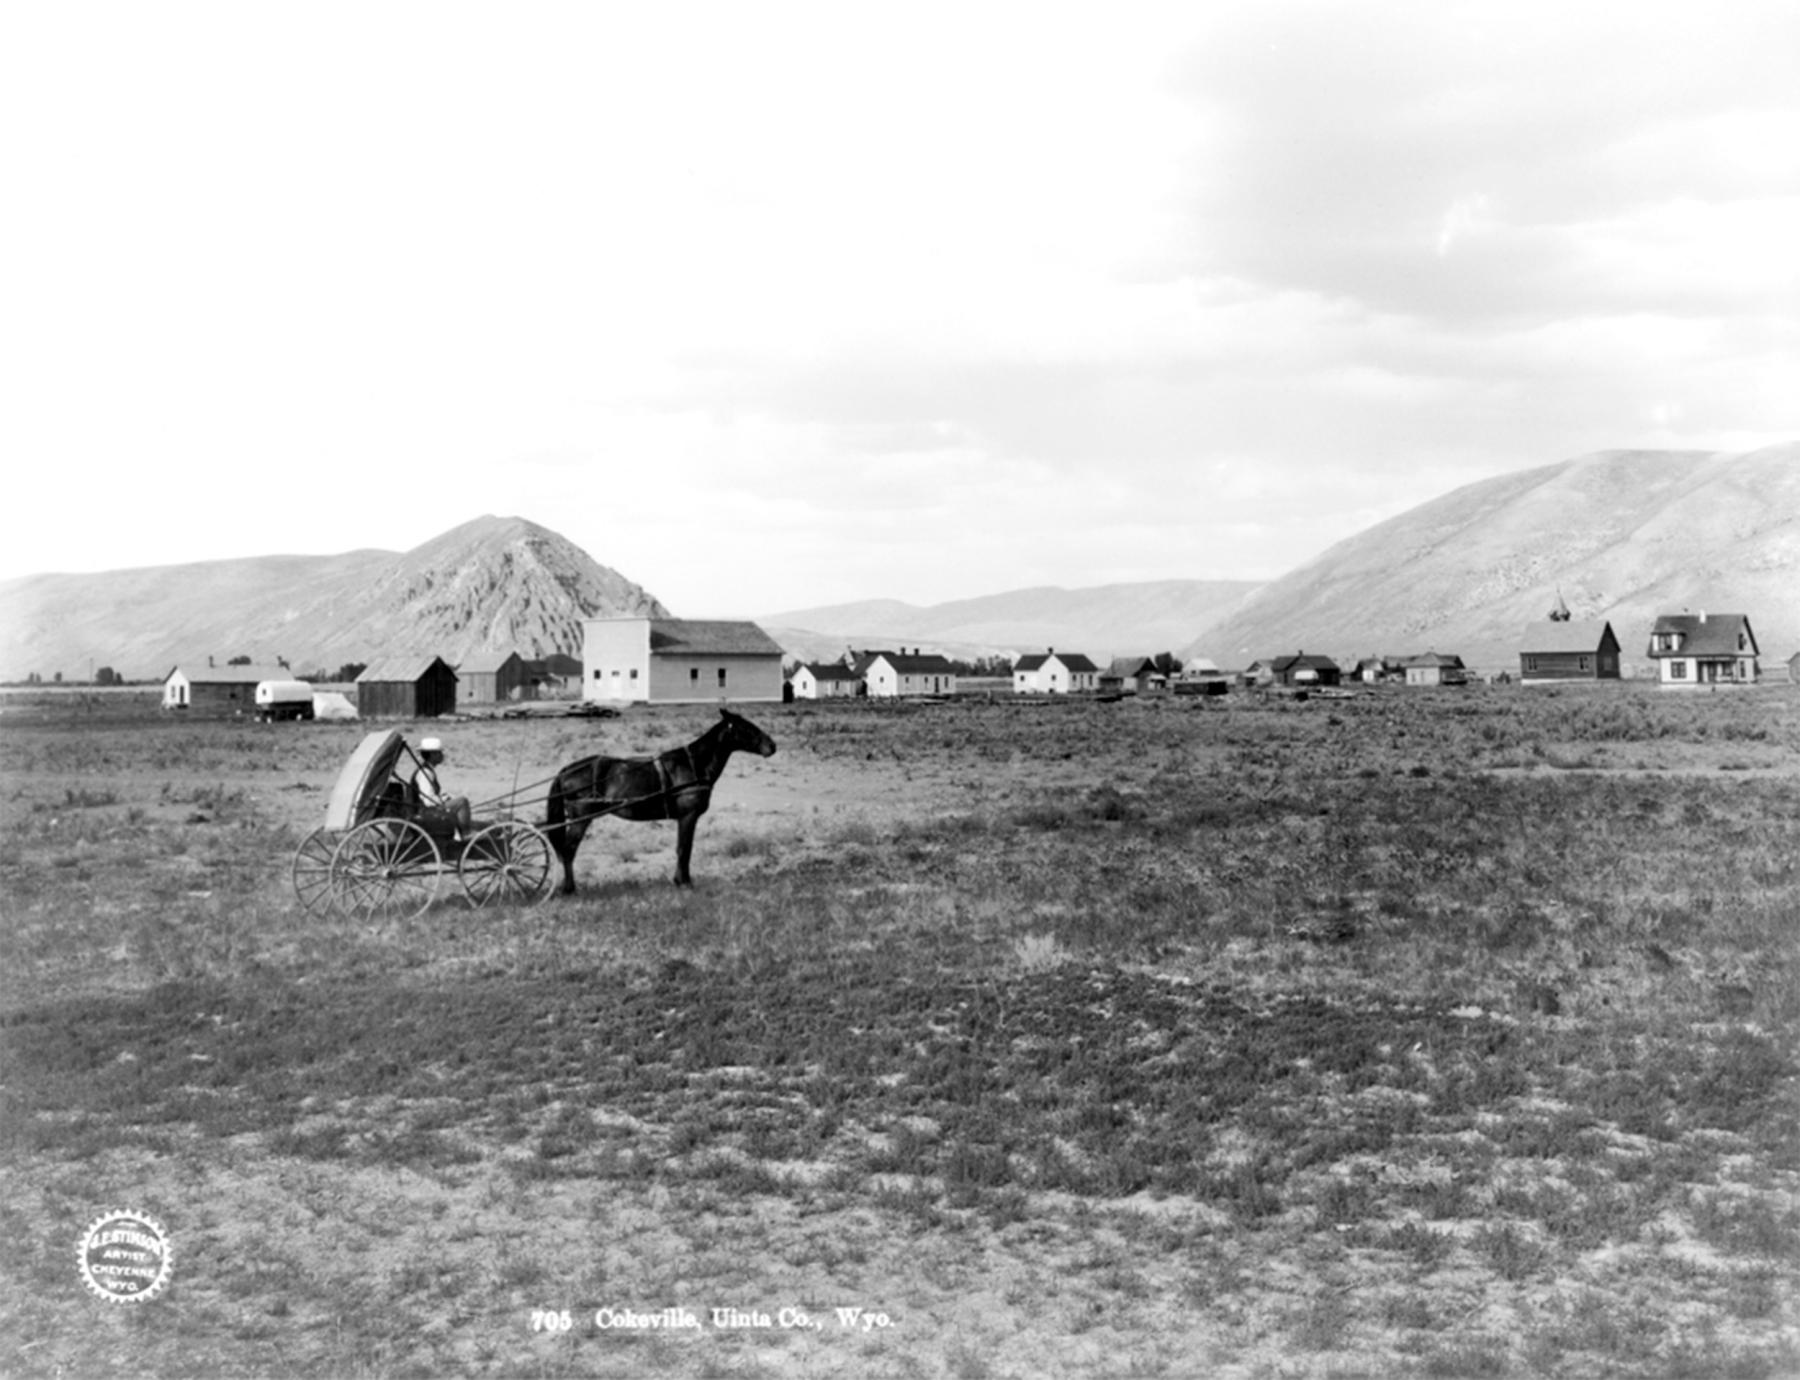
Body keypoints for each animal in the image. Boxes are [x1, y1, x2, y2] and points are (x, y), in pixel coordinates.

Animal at [543, 712, 777, 896]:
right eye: (747, 728)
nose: (772, 746)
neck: (693, 764)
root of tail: (566, 770)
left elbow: (683, 848)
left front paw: (680, 880)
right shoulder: (687, 816)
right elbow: (684, 848)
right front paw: (684, 882)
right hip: (580, 820)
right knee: (568, 850)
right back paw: (569, 888)